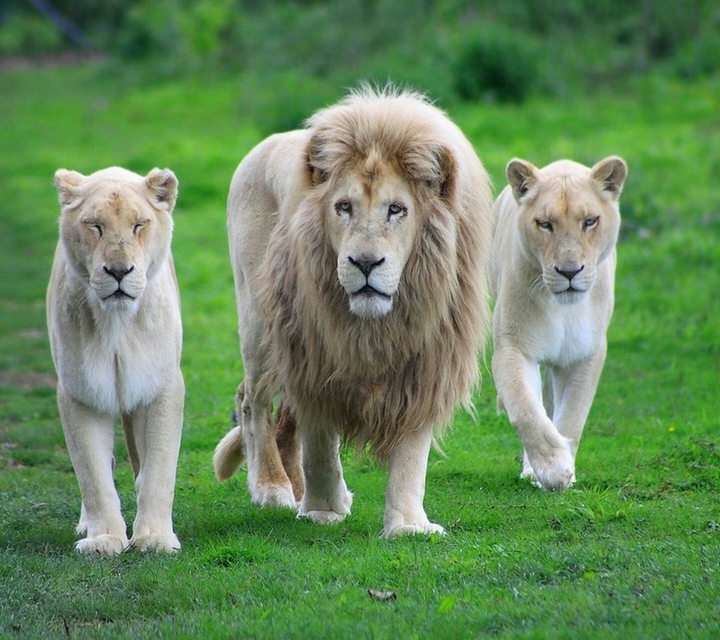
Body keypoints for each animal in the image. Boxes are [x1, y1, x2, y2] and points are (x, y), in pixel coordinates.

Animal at [47, 166, 184, 555]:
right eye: (94, 226)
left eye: (139, 225)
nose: (119, 271)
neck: (117, 324)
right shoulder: (80, 393)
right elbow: (92, 473)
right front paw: (104, 539)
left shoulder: (161, 387)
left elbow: (159, 467)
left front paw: (154, 538)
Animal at [213, 87, 492, 537]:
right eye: (343, 207)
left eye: (396, 209)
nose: (364, 263)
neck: (375, 326)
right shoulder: (314, 359)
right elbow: (320, 445)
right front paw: (323, 511)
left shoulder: (426, 363)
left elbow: (411, 454)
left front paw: (408, 525)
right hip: (259, 323)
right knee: (252, 401)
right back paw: (273, 487)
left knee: (284, 418)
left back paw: (296, 488)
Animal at [490, 156, 627, 490]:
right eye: (545, 224)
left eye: (589, 221)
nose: (569, 271)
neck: (562, 309)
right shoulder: (513, 347)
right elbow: (525, 409)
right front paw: (553, 468)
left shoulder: (585, 353)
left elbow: (572, 416)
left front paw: (565, 470)